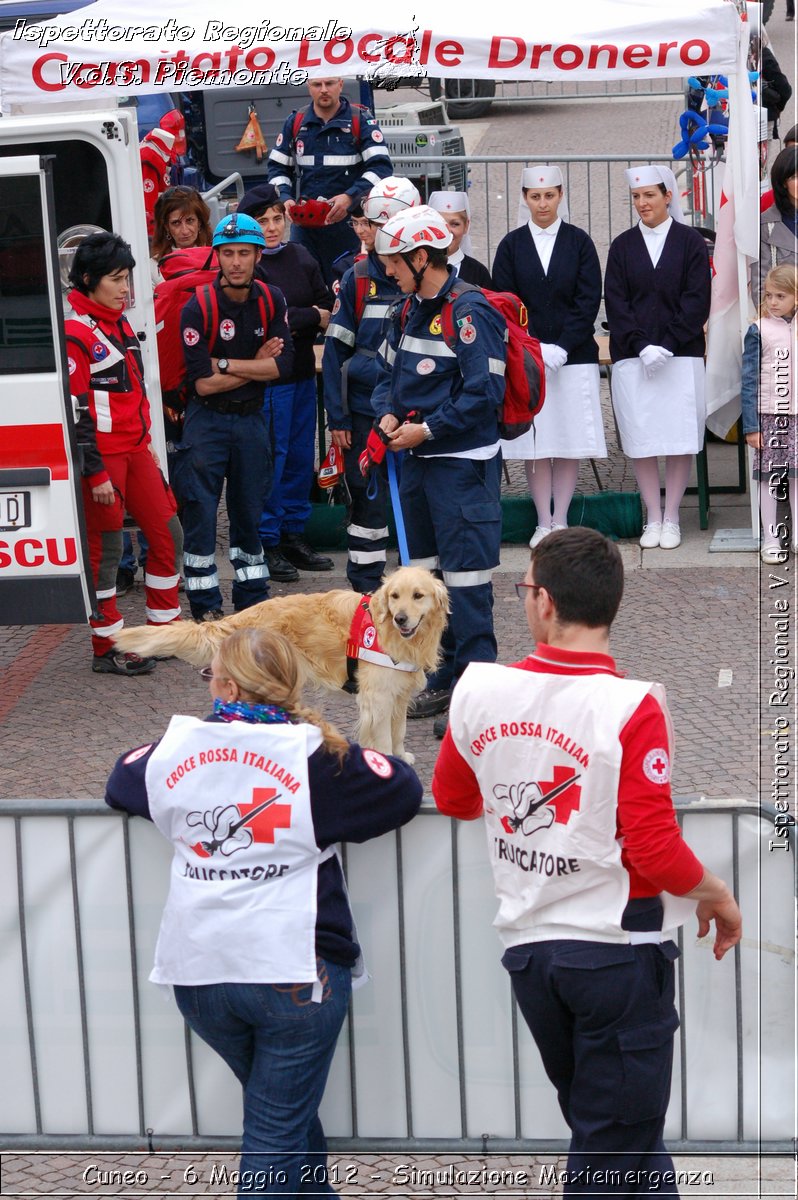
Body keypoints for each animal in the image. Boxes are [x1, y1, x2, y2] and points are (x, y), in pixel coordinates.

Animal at [113, 564, 448, 758]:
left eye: (418, 596)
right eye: (394, 596)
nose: (401, 618)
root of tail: (242, 619)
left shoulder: (398, 694)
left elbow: (399, 732)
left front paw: (401, 757)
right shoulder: (377, 696)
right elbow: (382, 738)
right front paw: (388, 761)